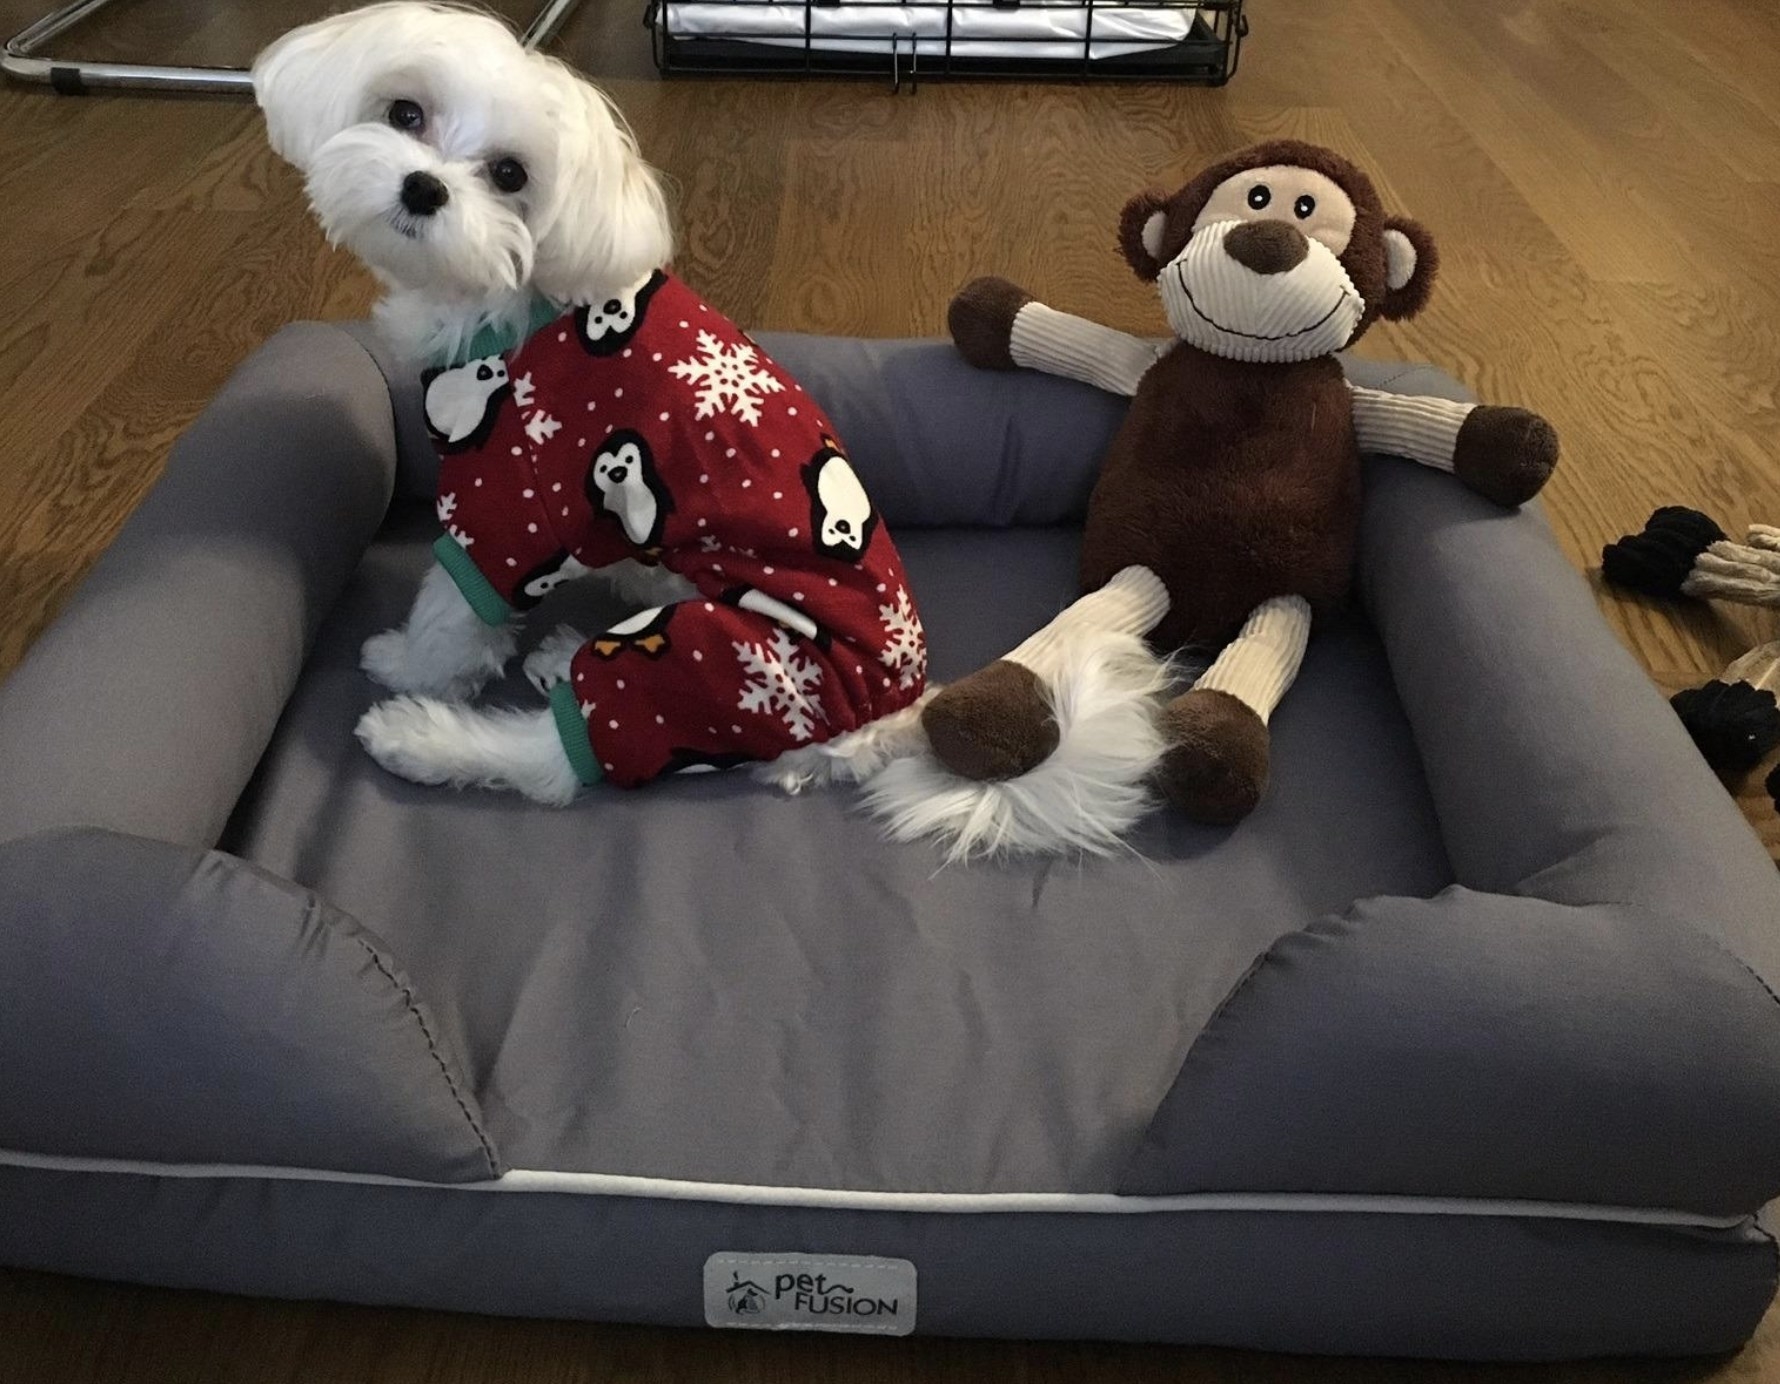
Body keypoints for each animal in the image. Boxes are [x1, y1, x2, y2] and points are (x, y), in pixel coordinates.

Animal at [252, 8, 932, 807]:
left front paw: (411, 668)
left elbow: (454, 614)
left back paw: (420, 737)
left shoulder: (510, 503)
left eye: (510, 175)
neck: (515, 298)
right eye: (405, 114)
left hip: (726, 661)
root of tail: (880, 725)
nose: (423, 188)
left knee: (563, 755)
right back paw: (561, 653)